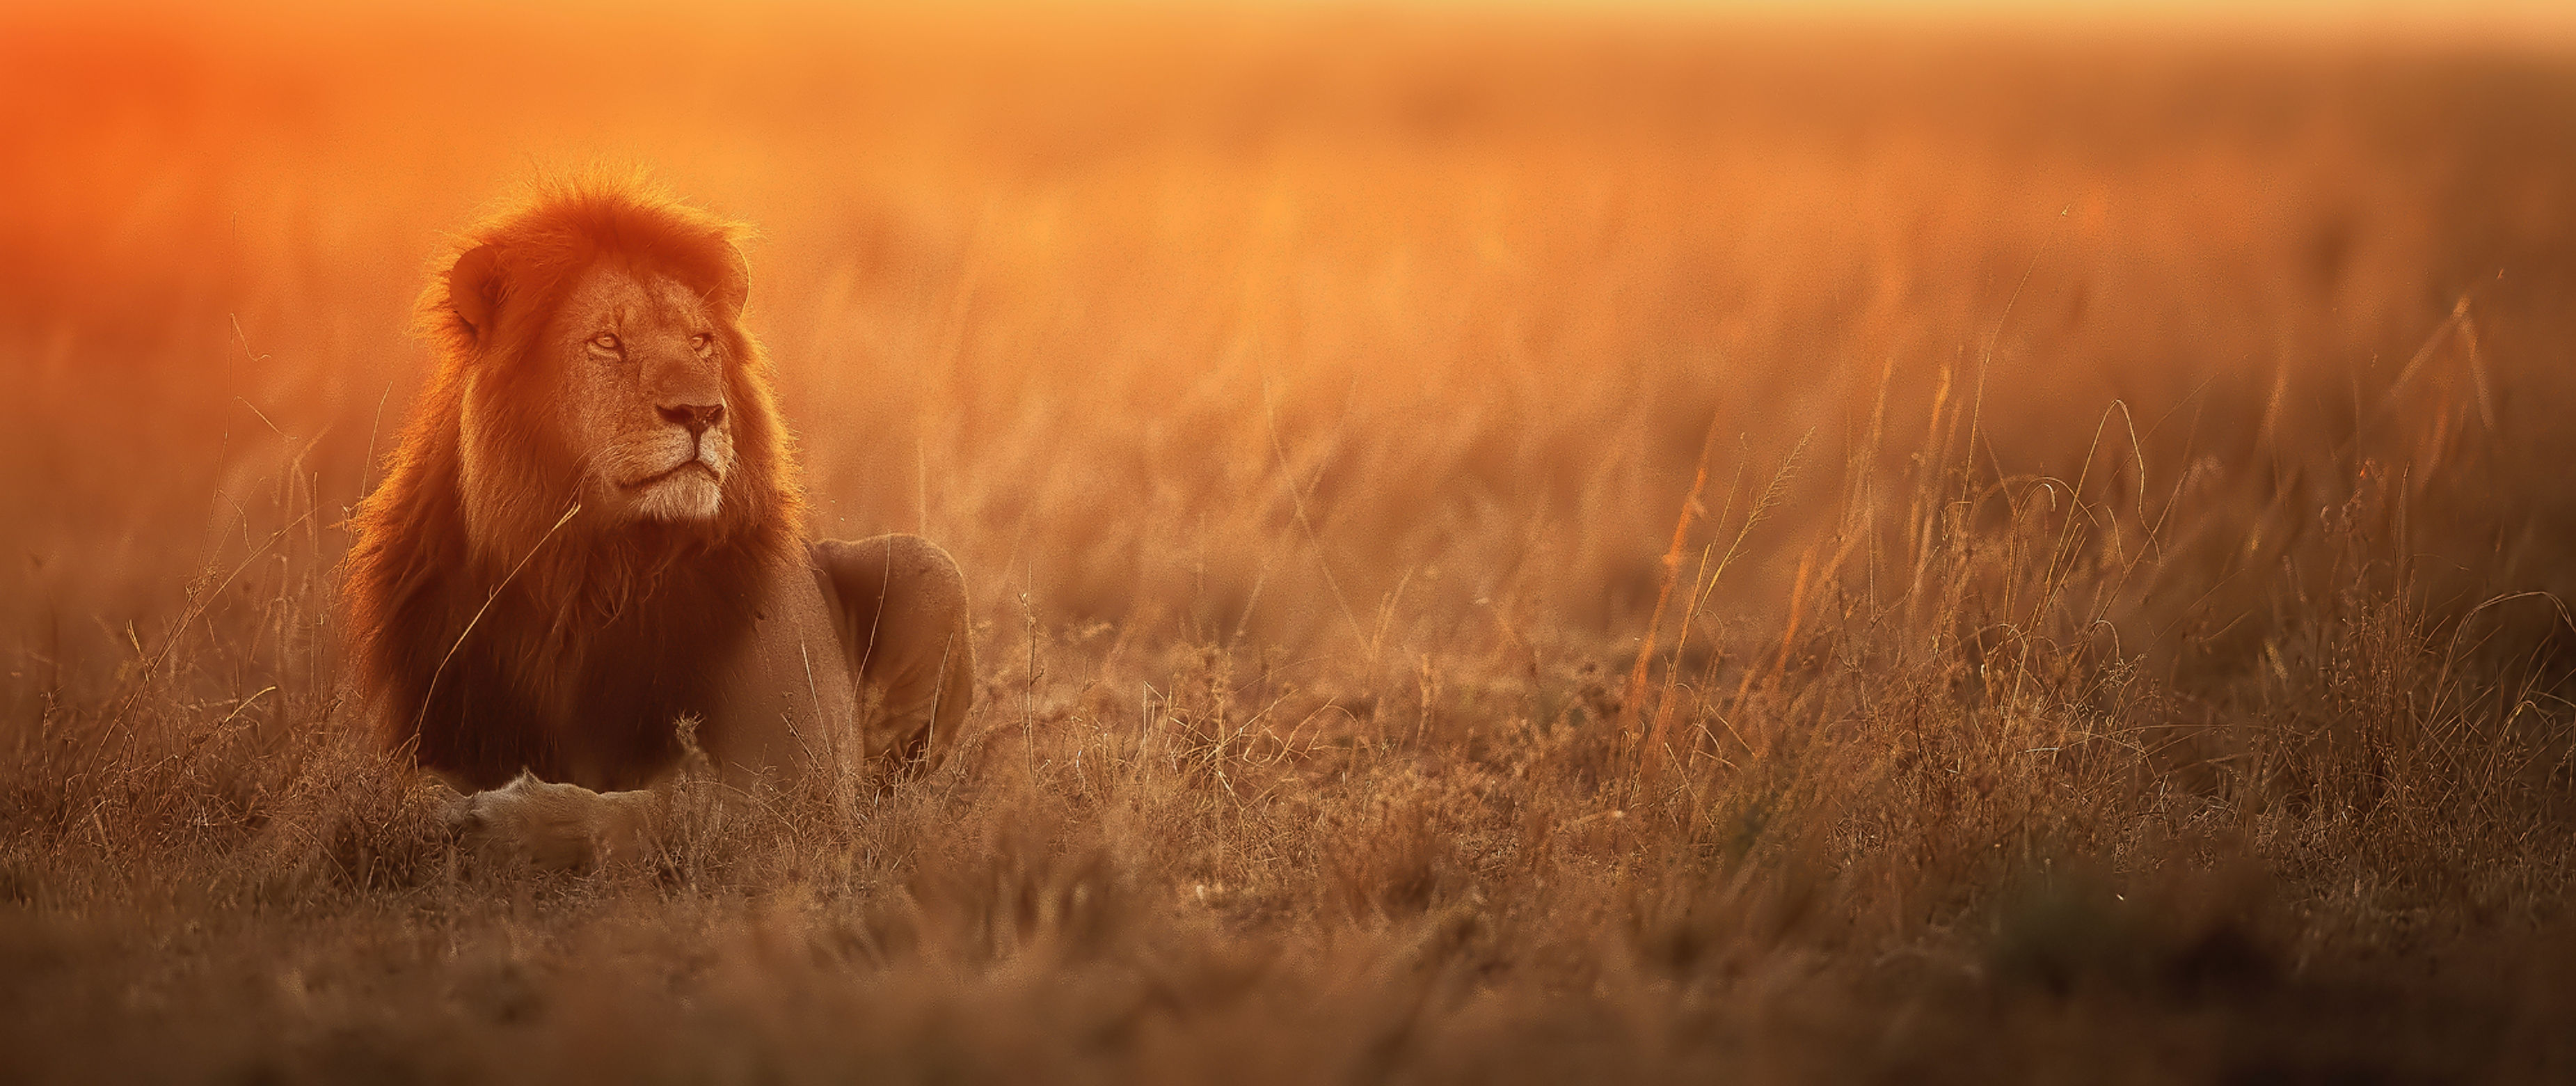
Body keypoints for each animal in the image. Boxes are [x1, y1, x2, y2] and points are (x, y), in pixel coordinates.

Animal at [343, 175, 974, 870]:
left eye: (701, 342)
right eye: (607, 342)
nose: (701, 412)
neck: (590, 569)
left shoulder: (799, 778)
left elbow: (665, 811)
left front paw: (504, 820)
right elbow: (399, 789)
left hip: (929, 566)